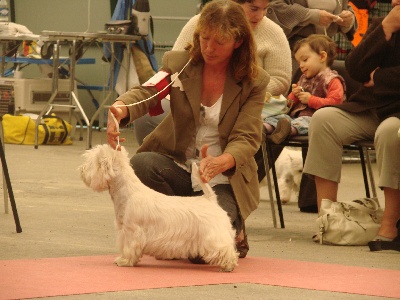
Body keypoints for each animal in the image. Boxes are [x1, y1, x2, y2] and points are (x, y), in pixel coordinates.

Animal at [79, 144, 239, 274]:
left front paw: (124, 261)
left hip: (213, 236)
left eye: (91, 162)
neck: (127, 192)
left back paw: (228, 266)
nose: (81, 169)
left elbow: (129, 247)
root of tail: (210, 199)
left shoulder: (131, 231)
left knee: (225, 249)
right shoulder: (124, 230)